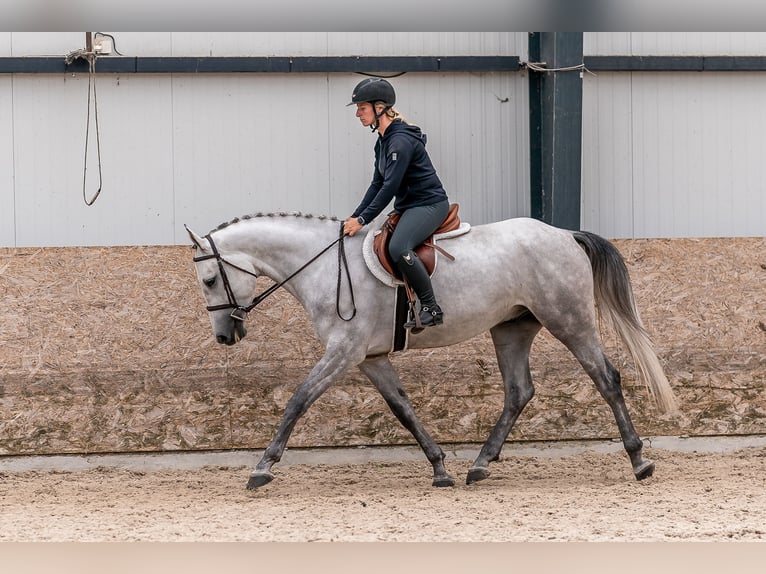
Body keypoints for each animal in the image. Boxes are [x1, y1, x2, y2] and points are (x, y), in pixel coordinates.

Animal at [186, 212, 680, 490]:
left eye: (209, 280)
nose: (225, 337)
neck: (323, 265)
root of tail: (563, 233)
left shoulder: (344, 351)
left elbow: (297, 401)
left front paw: (262, 468)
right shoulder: (370, 358)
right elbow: (403, 409)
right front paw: (440, 468)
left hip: (569, 320)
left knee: (606, 378)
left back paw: (639, 461)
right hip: (511, 328)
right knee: (518, 392)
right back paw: (479, 465)